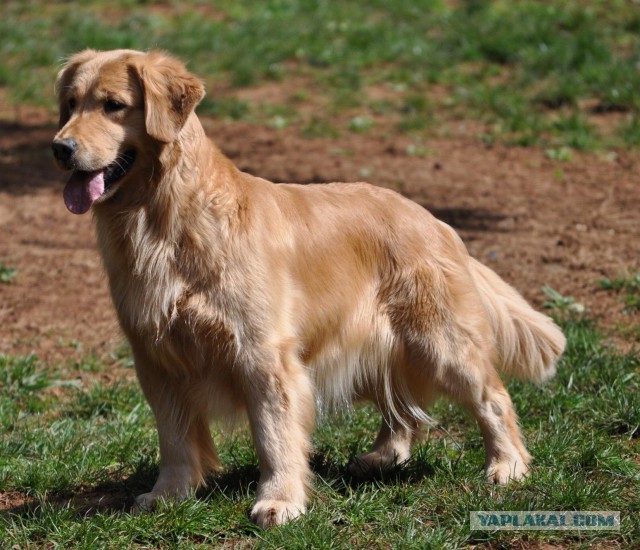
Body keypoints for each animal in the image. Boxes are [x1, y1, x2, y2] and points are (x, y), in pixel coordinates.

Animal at [53, 49, 564, 528]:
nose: (60, 148)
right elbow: (175, 438)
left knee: (492, 398)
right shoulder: (156, 355)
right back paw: (385, 455)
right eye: (70, 104)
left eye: (113, 105)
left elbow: (274, 435)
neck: (164, 217)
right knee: (399, 400)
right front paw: (170, 494)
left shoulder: (261, 354)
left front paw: (280, 500)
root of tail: (434, 219)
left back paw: (507, 465)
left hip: (439, 341)